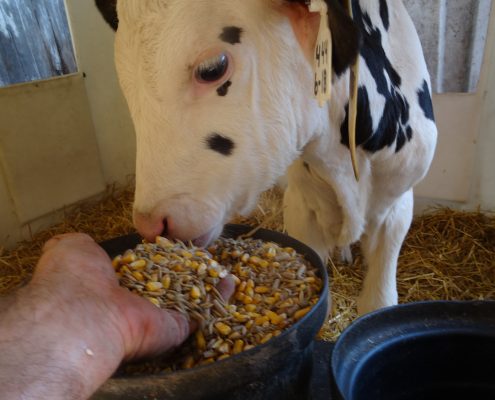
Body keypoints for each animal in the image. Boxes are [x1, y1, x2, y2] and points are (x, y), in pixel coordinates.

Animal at [97, 0, 438, 314]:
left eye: (213, 68)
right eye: (125, 83)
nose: (151, 224)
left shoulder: (397, 205)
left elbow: (379, 303)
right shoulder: (301, 204)